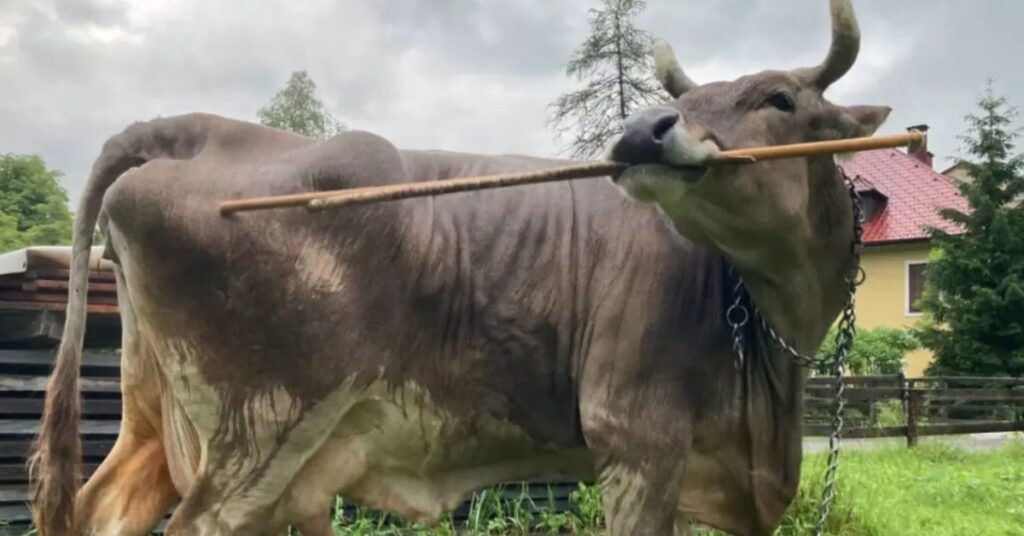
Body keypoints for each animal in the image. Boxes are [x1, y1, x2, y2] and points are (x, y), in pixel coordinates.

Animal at [29, 0, 890, 534]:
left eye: (778, 98)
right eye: (691, 98)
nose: (642, 130)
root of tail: (190, 127)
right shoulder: (635, 440)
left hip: (158, 418)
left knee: (102, 508)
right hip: (259, 435)